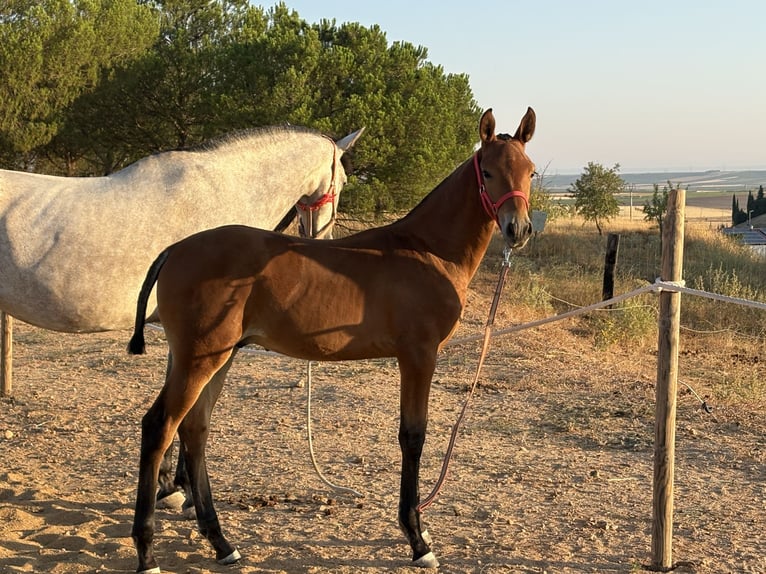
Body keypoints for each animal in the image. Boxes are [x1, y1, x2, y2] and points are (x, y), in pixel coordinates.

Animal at [127, 107, 536, 572]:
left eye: (530, 172)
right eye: (487, 172)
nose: (518, 229)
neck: (426, 251)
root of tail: (175, 249)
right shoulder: (418, 355)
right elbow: (413, 437)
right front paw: (417, 539)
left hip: (220, 356)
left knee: (195, 429)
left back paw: (221, 542)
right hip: (197, 359)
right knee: (159, 427)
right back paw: (147, 551)